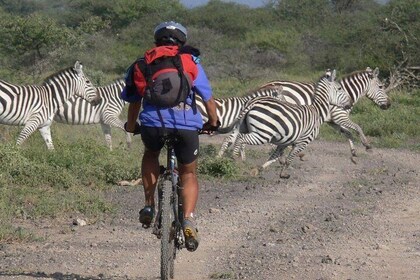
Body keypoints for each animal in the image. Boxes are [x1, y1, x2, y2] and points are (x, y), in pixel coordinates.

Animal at [220, 66, 390, 162]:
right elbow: (357, 127)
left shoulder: (332, 121)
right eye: (381, 86)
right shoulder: (339, 116)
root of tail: (265, 85)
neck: (344, 93)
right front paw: (367, 146)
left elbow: (348, 133)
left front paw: (354, 153)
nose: (389, 105)